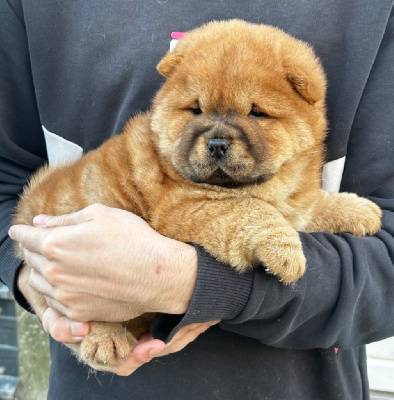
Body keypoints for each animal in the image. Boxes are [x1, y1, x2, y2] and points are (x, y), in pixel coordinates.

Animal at [13, 18, 382, 368]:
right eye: (196, 109)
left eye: (256, 113)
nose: (216, 144)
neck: (268, 183)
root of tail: (27, 206)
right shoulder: (182, 205)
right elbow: (249, 210)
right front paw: (287, 253)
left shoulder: (295, 201)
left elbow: (314, 204)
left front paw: (361, 210)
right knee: (85, 316)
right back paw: (107, 340)